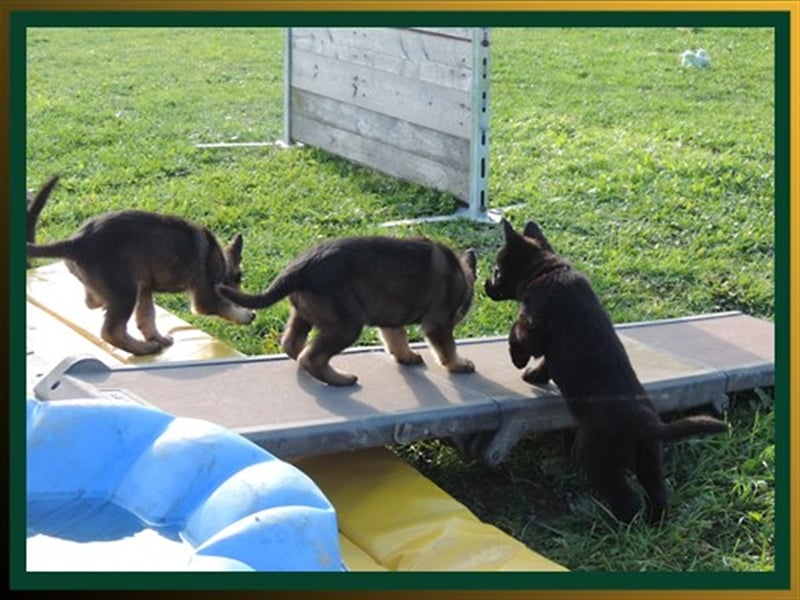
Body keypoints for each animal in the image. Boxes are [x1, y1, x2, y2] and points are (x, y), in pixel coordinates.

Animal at [28, 202, 253, 354]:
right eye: (239, 277)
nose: (248, 305)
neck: (220, 259)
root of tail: (77, 242)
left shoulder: (145, 288)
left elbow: (147, 316)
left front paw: (157, 337)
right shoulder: (204, 298)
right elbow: (223, 306)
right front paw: (246, 315)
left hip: (126, 287)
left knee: (93, 303)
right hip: (125, 292)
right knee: (111, 332)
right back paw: (144, 349)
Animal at [219, 234, 478, 384]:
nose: (462, 314)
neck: (460, 276)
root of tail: (301, 267)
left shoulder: (390, 320)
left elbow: (397, 340)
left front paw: (406, 357)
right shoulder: (438, 324)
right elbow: (448, 348)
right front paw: (459, 365)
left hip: (303, 314)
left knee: (293, 345)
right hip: (347, 325)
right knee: (311, 357)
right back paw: (341, 379)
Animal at [484, 218, 728, 524]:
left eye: (496, 270)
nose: (484, 286)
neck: (547, 271)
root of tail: (648, 425)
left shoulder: (533, 326)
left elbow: (515, 333)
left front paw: (519, 363)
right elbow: (546, 362)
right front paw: (534, 375)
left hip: (596, 458)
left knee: (627, 501)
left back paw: (615, 523)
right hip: (650, 461)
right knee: (657, 494)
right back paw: (653, 523)